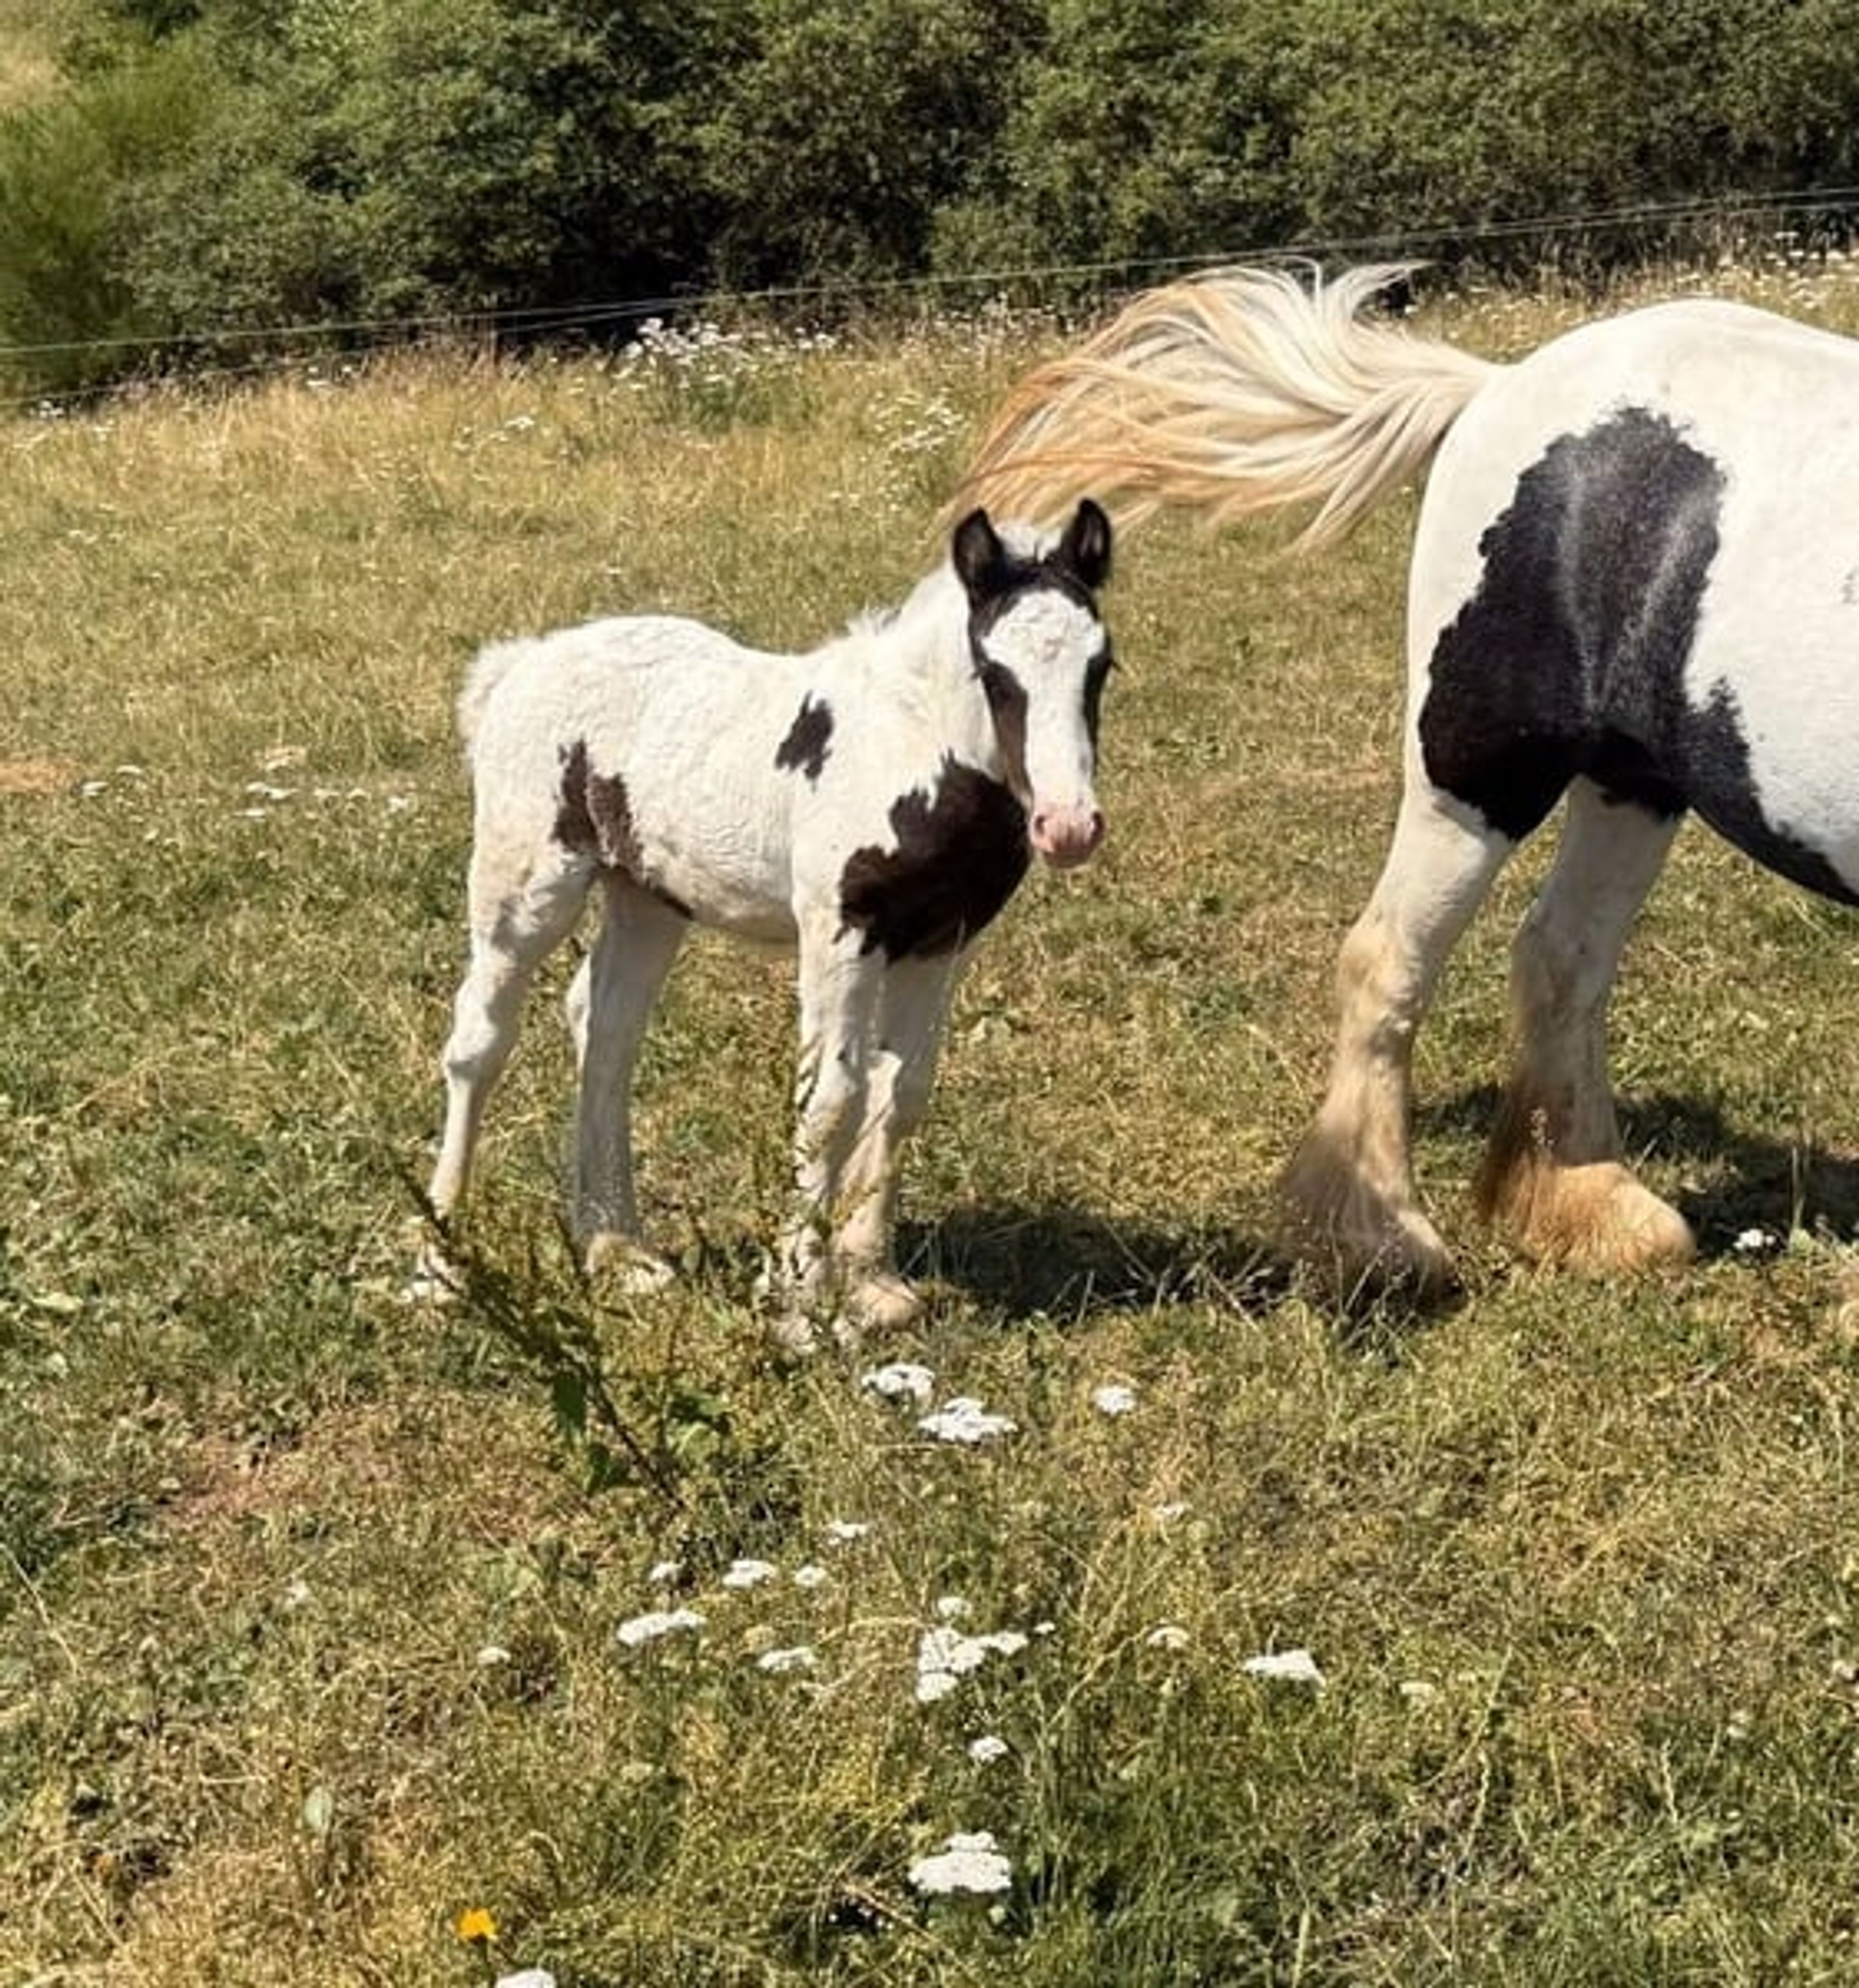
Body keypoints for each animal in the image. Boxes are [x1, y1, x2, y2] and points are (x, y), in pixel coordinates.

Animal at [422, 500, 1115, 1345]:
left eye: (1100, 666)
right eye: (994, 673)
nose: (1069, 826)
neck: (908, 751)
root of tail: (522, 663)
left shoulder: (940, 942)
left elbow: (904, 1090)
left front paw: (872, 1280)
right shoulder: (840, 932)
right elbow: (832, 1097)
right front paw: (798, 1298)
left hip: (647, 896)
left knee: (607, 1030)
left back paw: (619, 1247)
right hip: (524, 884)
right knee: (480, 1042)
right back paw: (440, 1263)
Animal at [962, 263, 1859, 1296]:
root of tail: (1497, 386)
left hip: (1628, 779)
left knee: (1563, 956)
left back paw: (1589, 1209)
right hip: (1475, 775)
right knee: (1390, 960)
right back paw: (1384, 1240)